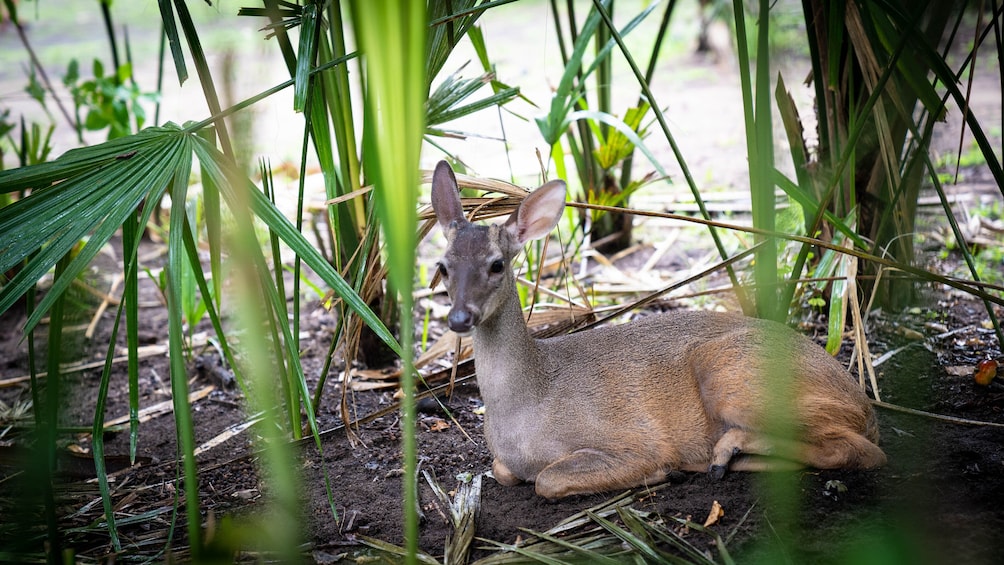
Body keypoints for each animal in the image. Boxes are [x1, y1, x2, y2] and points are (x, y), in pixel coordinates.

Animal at [427, 160, 883, 499]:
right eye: (442, 266)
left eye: (496, 264)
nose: (459, 318)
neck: (527, 404)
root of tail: (862, 403)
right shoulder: (504, 461)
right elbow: (503, 471)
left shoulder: (632, 440)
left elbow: (548, 479)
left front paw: (662, 472)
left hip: (732, 376)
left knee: (863, 451)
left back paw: (719, 453)